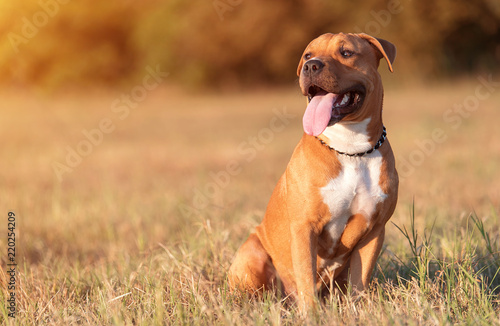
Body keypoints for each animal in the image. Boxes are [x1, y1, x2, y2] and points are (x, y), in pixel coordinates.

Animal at [229, 32, 398, 310]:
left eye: (346, 52)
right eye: (308, 55)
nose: (311, 66)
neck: (350, 149)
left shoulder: (374, 230)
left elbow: (360, 281)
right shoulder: (304, 228)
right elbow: (306, 279)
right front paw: (312, 314)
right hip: (251, 255)